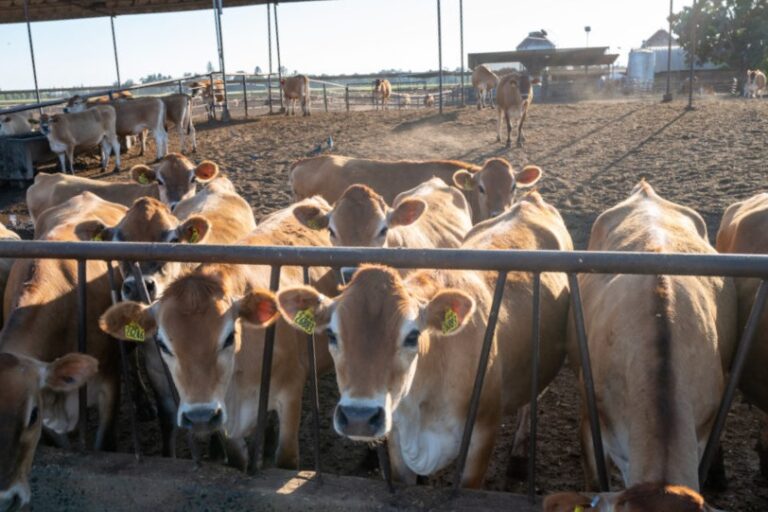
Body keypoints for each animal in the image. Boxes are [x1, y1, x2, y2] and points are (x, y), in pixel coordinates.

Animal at [100, 197, 336, 471]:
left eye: (229, 337)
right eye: (163, 344)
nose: (199, 416)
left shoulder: (290, 392)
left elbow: (286, 457)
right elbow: (236, 457)